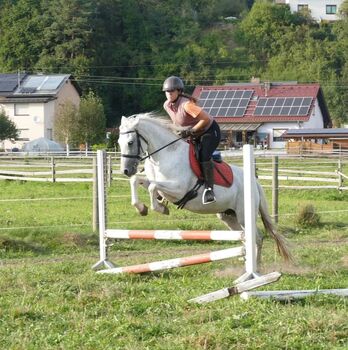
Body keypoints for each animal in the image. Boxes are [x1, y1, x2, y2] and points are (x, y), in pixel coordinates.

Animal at [117, 113, 290, 262]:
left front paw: (159, 208)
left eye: (130, 142)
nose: (125, 170)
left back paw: (256, 268)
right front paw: (142, 208)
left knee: (258, 238)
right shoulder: (156, 182)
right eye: (119, 142)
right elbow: (137, 181)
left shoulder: (178, 189)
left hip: (244, 215)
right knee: (246, 237)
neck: (164, 154)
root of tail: (254, 183)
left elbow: (153, 187)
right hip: (229, 217)